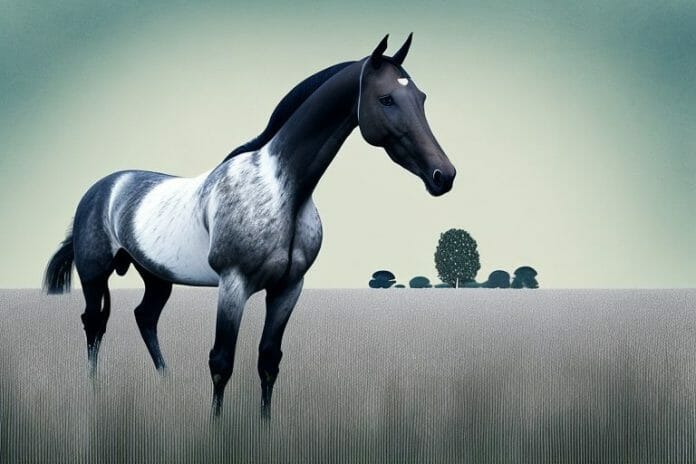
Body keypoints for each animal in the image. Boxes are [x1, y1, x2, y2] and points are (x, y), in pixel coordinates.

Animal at [43, 33, 456, 417]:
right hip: (95, 275)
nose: (444, 176)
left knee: (144, 317)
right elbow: (221, 363)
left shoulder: (288, 289)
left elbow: (268, 361)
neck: (279, 190)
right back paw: (94, 391)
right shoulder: (233, 285)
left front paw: (264, 427)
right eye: (386, 99)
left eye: (420, 98)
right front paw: (216, 429)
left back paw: (166, 385)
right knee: (94, 323)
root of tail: (102, 188)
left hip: (157, 277)